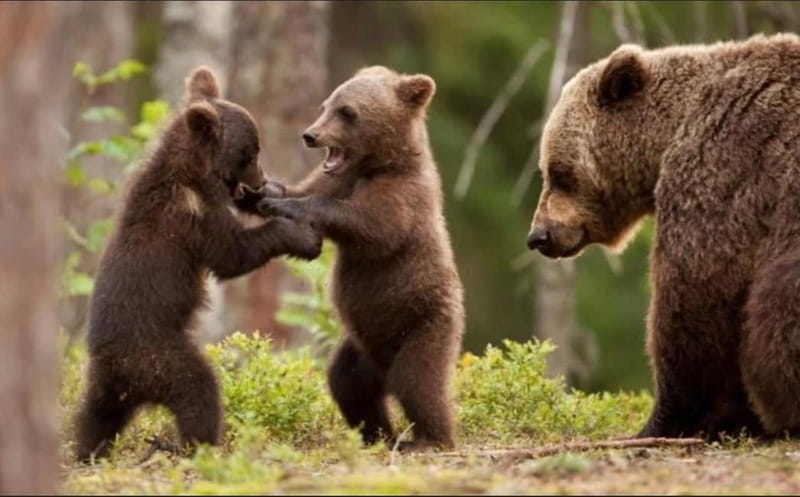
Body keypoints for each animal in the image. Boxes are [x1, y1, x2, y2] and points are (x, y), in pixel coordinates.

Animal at [74, 66, 322, 462]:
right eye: (251, 151)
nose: (261, 179)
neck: (193, 174)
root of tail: (121, 373)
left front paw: (273, 197)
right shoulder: (192, 217)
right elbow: (233, 254)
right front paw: (302, 237)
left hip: (106, 385)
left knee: (94, 417)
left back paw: (86, 450)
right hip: (159, 357)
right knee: (198, 389)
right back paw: (198, 443)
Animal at [258, 66, 465, 450]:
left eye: (347, 112)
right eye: (326, 104)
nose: (310, 135)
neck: (377, 165)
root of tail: (382, 365)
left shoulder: (404, 197)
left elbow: (371, 227)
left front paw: (289, 206)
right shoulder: (338, 178)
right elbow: (307, 188)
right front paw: (265, 191)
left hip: (424, 325)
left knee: (418, 382)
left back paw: (429, 439)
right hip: (361, 347)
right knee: (348, 384)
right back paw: (378, 434)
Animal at [526, 33, 800, 440]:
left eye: (558, 172)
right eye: (548, 170)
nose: (538, 236)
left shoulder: (724, 169)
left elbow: (694, 294)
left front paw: (665, 420)